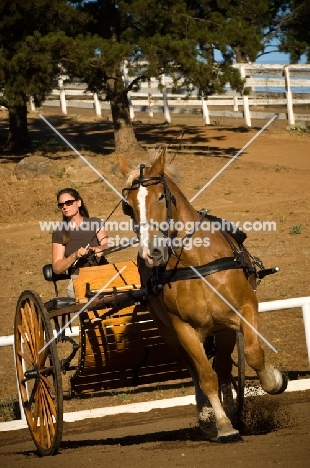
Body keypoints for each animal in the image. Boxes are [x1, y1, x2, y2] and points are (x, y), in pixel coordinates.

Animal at [117, 149, 286, 442]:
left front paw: (274, 381)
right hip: (173, 335)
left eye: (161, 196)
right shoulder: (183, 330)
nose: (152, 252)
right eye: (128, 206)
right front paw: (223, 424)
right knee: (198, 371)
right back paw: (210, 416)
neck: (195, 263)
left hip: (224, 329)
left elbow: (253, 354)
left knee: (224, 367)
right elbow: (206, 377)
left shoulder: (244, 310)